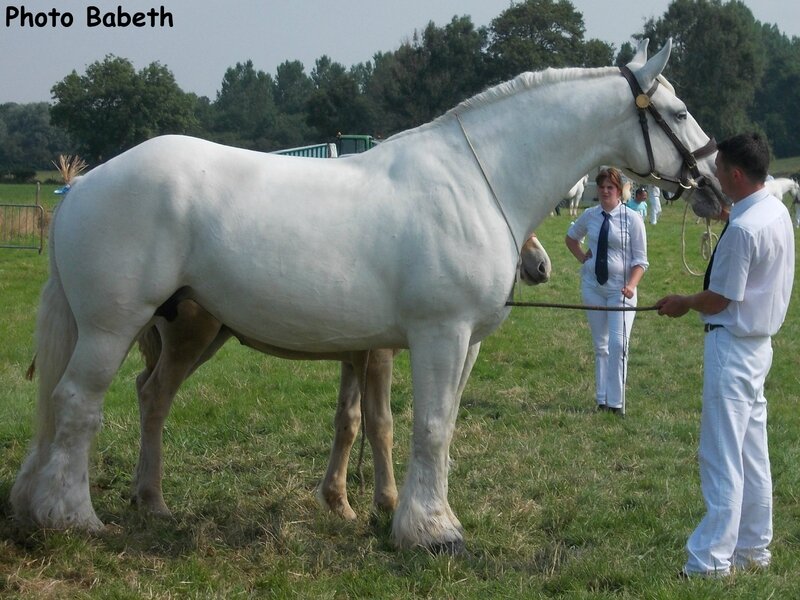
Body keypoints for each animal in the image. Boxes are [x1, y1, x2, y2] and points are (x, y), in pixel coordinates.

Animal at [131, 232, 552, 524]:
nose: (541, 265)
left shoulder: (354, 360)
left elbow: (348, 422)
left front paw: (338, 502)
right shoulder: (378, 359)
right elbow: (380, 423)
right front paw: (386, 504)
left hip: (203, 343)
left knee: (141, 384)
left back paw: (137, 490)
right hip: (191, 340)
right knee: (155, 397)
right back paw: (154, 501)